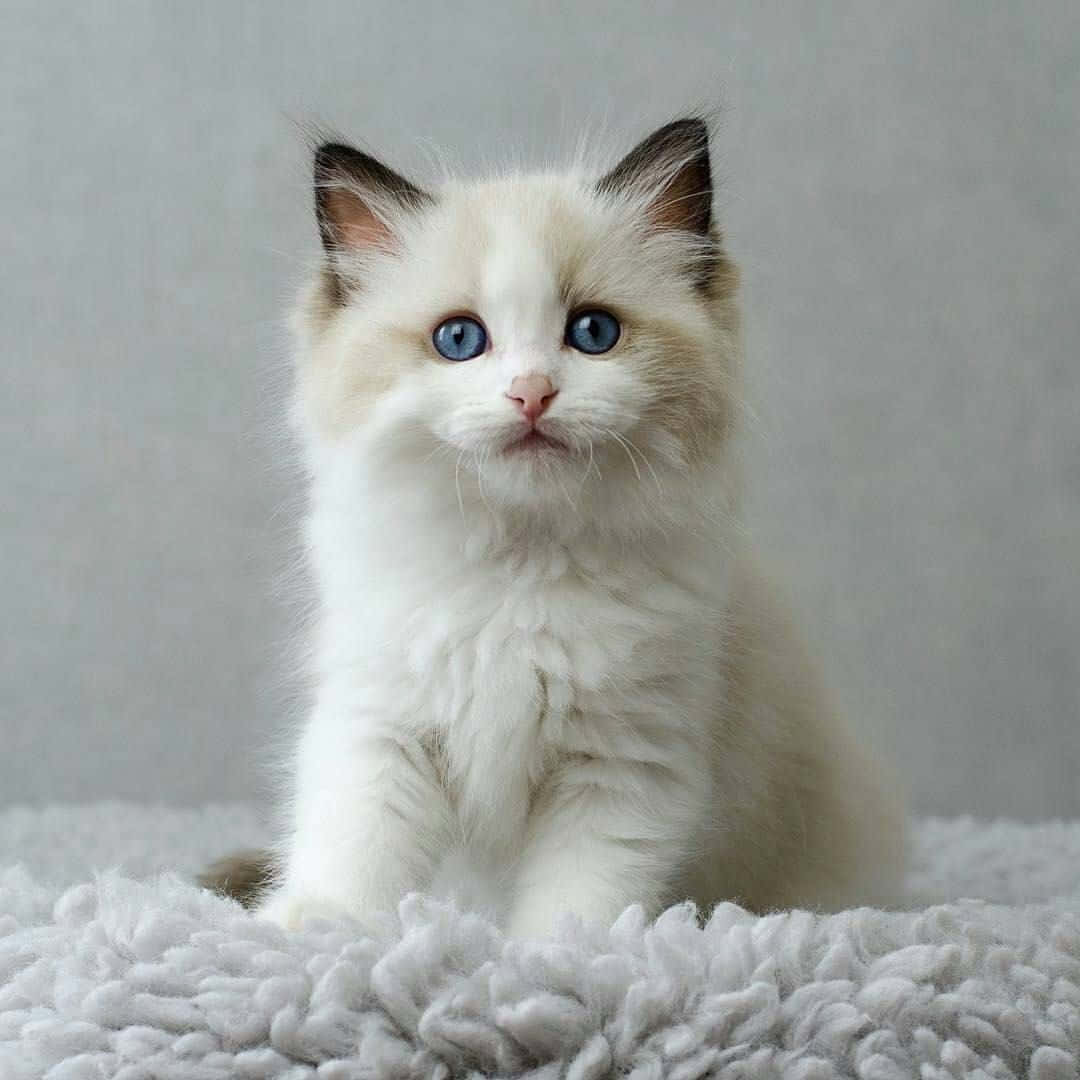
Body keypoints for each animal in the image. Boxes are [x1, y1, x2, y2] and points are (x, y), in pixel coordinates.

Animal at [206, 116, 907, 928]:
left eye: (593, 332)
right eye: (459, 340)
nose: (531, 394)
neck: (519, 561)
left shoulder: (623, 763)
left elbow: (578, 906)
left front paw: (551, 956)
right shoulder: (382, 725)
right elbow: (354, 852)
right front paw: (311, 930)